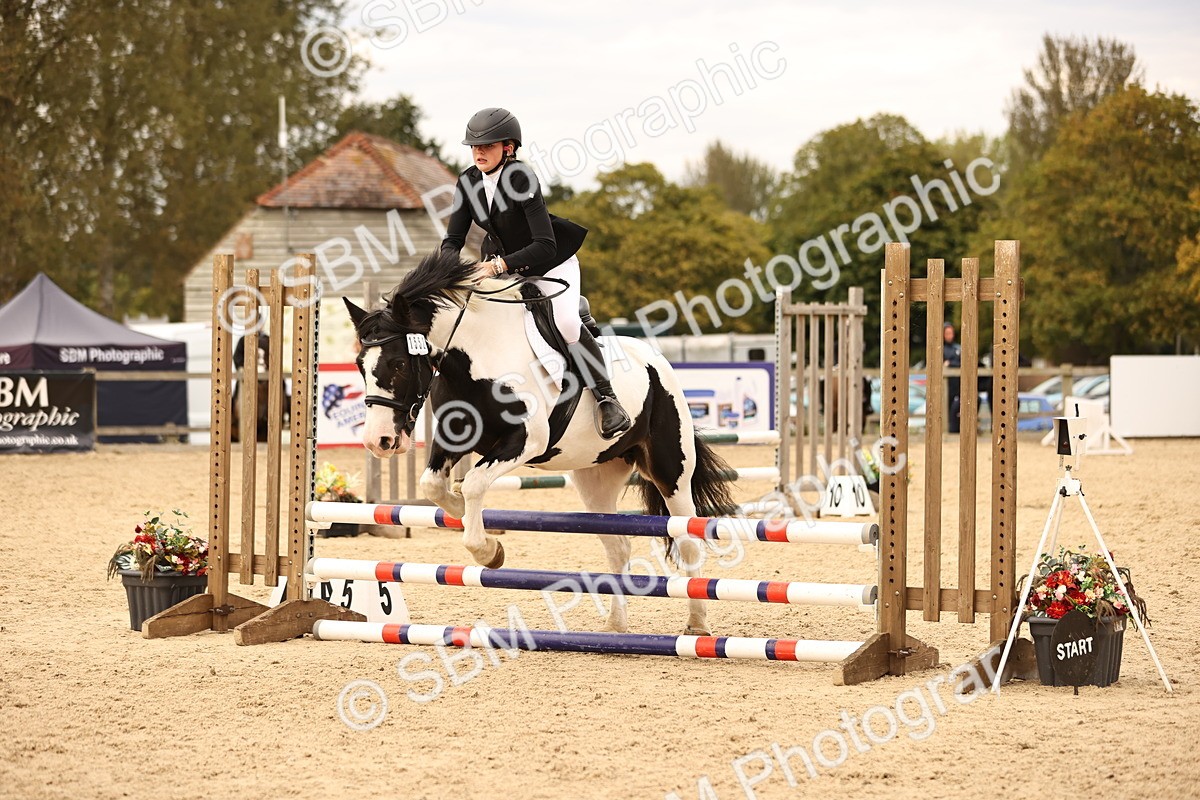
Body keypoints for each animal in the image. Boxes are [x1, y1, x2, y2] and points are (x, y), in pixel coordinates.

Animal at [344, 250, 736, 635]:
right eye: (360, 364)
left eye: (398, 364)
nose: (379, 440)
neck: (477, 354)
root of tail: (655, 359)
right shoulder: (454, 436)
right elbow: (434, 485)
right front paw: (465, 517)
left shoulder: (525, 440)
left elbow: (474, 483)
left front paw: (487, 550)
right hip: (596, 479)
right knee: (618, 545)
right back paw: (615, 625)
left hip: (671, 472)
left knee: (687, 540)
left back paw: (697, 624)